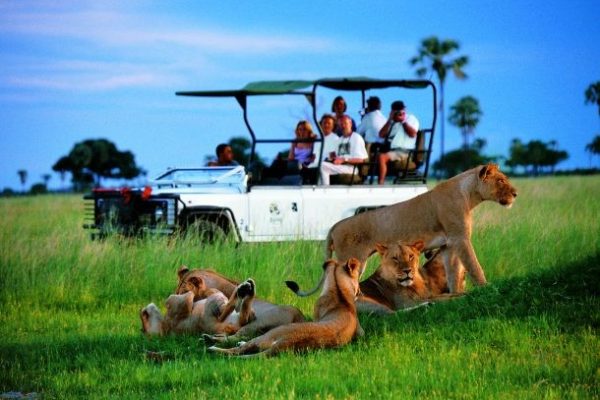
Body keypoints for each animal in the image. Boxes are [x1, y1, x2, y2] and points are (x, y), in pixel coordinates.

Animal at [209, 258, 364, 358]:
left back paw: (212, 344)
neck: (340, 294)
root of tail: (285, 344)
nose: (360, 292)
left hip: (268, 334)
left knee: (236, 346)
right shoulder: (360, 331)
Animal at [286, 163, 516, 296]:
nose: (516, 193)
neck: (469, 195)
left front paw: (457, 295)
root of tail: (335, 225)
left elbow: (454, 274)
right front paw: (487, 288)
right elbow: (474, 266)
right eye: (501, 180)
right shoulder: (460, 238)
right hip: (352, 259)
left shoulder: (449, 244)